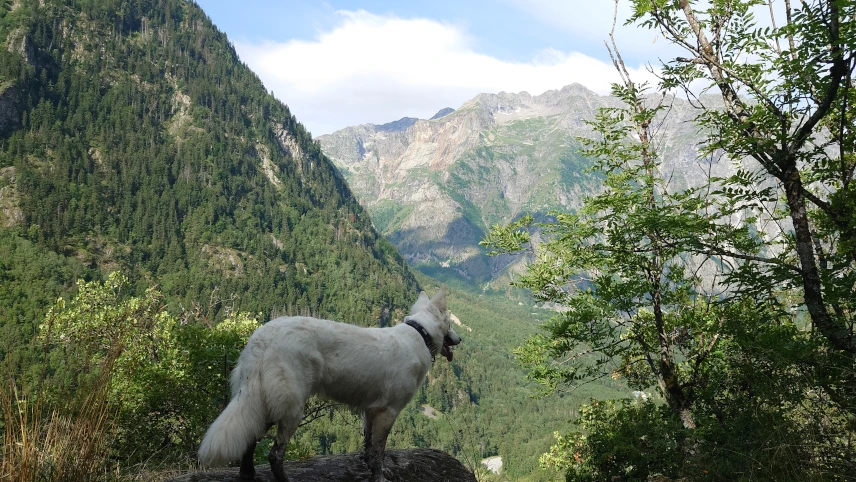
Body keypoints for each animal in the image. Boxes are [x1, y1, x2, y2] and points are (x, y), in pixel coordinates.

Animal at [198, 288, 462, 482]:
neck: (420, 333)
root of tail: (263, 338)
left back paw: (247, 474)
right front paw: (378, 477)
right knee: (275, 454)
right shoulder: (388, 412)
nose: (460, 339)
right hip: (291, 407)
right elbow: (379, 452)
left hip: (264, 399)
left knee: (252, 434)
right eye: (450, 324)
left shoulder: (370, 411)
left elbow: (368, 447)